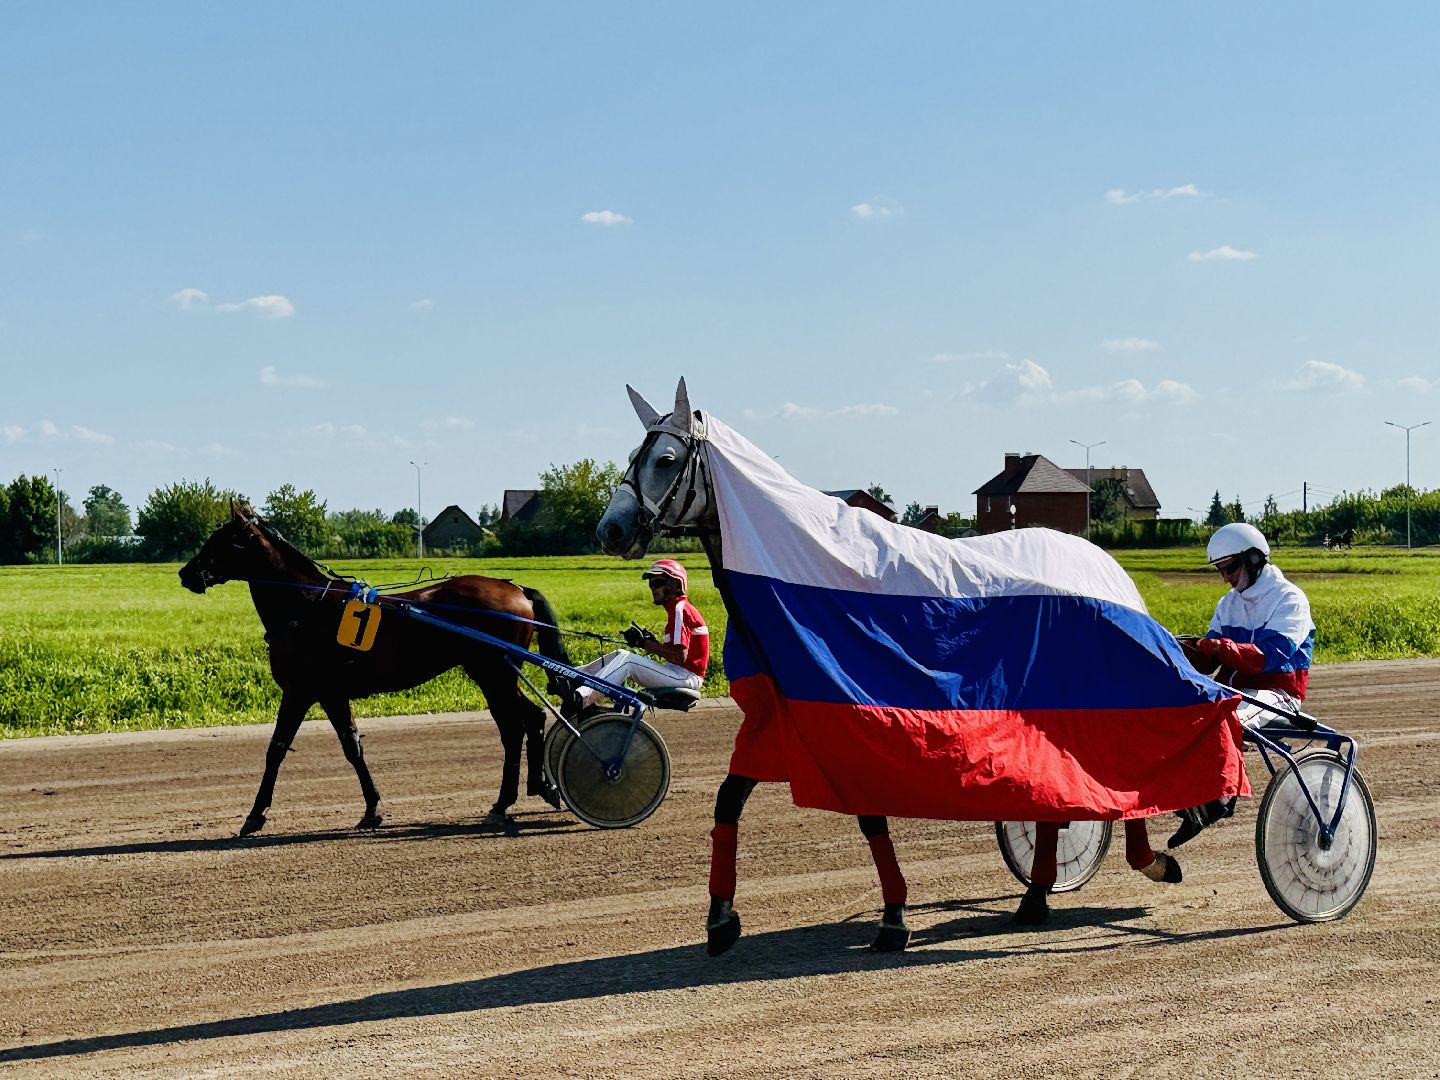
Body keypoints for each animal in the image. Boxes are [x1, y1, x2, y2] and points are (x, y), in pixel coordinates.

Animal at [179, 501, 569, 836]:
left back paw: (506, 802)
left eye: (222, 540)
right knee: (529, 719)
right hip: (497, 673)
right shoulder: (331, 693)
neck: (305, 606)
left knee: (516, 726)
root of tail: (514, 588)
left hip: (492, 672)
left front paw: (255, 815)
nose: (187, 573)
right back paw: (536, 789)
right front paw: (372, 810)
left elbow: (277, 748)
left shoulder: (300, 690)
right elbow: (352, 747)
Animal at [598, 380, 1238, 955]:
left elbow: (870, 819)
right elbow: (728, 802)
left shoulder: (855, 720)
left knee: (1127, 781)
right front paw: (721, 919)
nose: (611, 528)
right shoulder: (782, 723)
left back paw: (1148, 861)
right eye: (632, 456)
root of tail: (1105, 564)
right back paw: (1038, 896)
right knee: (1066, 801)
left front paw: (893, 918)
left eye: (666, 458)